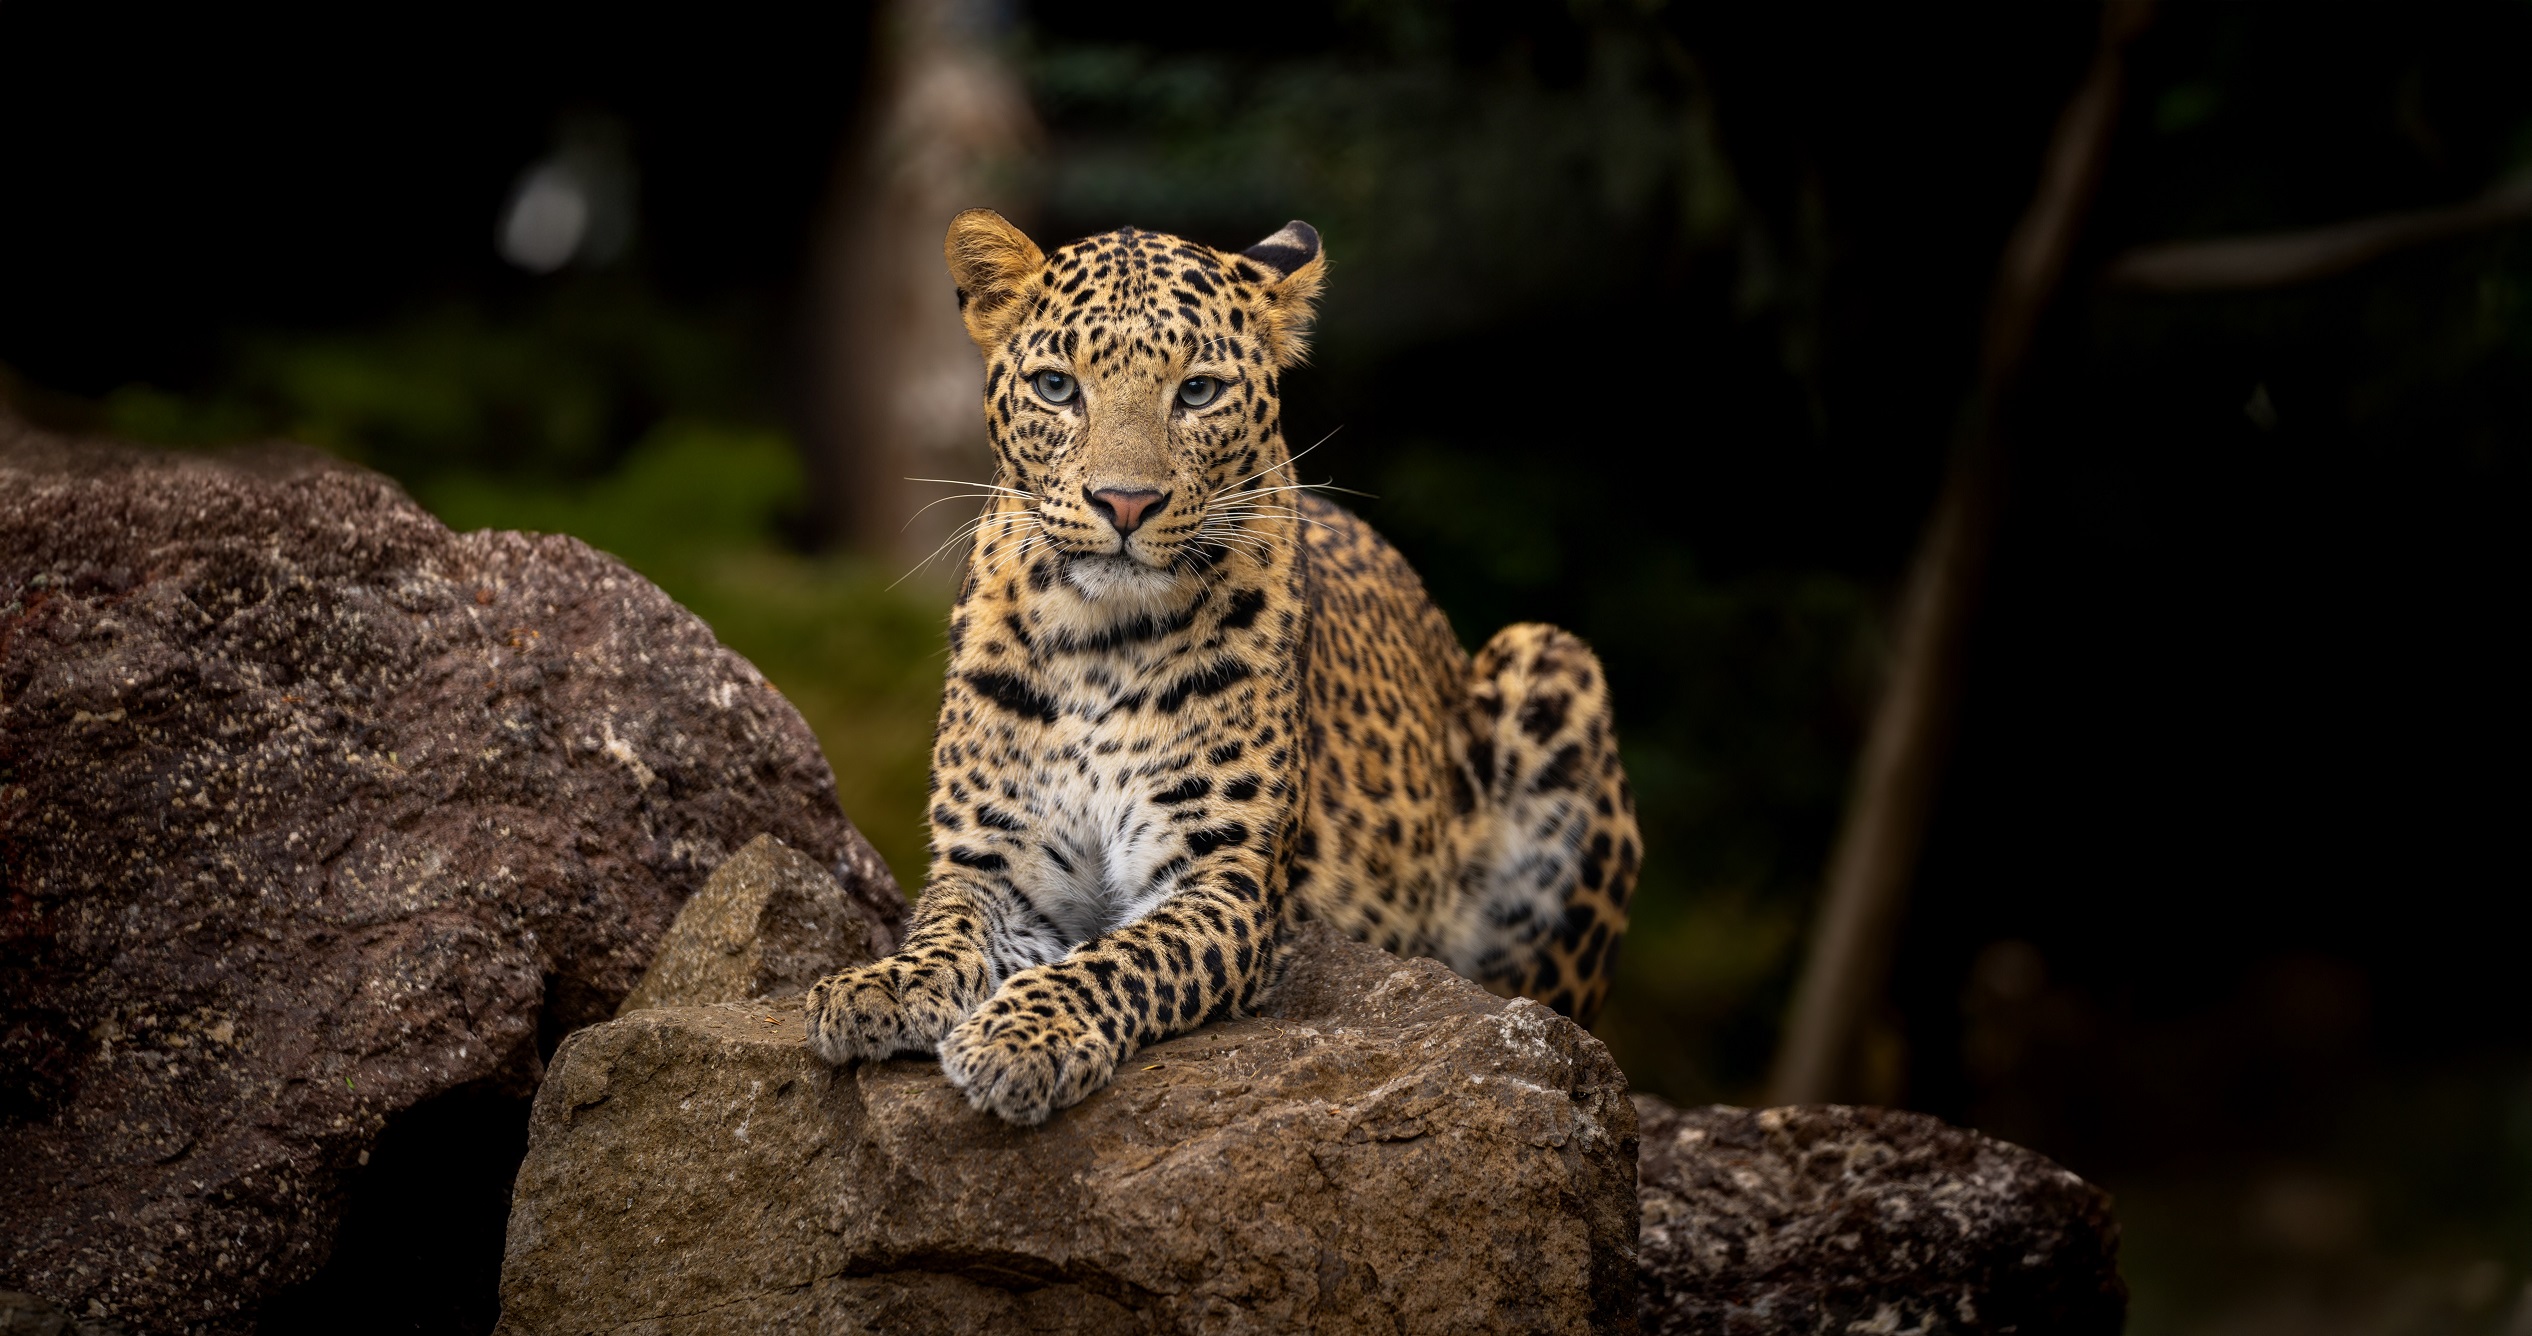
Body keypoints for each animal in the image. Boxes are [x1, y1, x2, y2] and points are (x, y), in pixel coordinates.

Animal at [804, 209, 1640, 1125]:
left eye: (1198, 392)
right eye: (1058, 387)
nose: (1125, 502)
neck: (1101, 642)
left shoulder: (1222, 883)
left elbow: (1122, 958)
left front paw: (1022, 1035)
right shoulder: (996, 863)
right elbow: (946, 926)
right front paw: (881, 985)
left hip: (1551, 664)